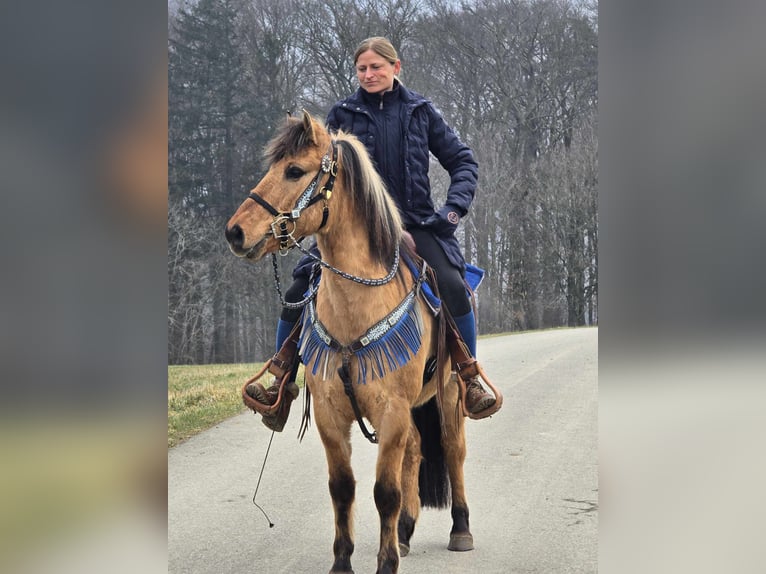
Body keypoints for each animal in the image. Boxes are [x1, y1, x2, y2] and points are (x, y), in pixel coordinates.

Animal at [225, 112, 486, 574]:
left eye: (295, 171)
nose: (235, 232)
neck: (357, 306)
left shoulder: (392, 409)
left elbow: (385, 492)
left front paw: (386, 563)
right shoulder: (331, 414)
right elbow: (343, 488)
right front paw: (344, 562)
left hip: (450, 392)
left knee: (453, 451)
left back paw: (460, 529)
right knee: (415, 451)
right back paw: (405, 532)